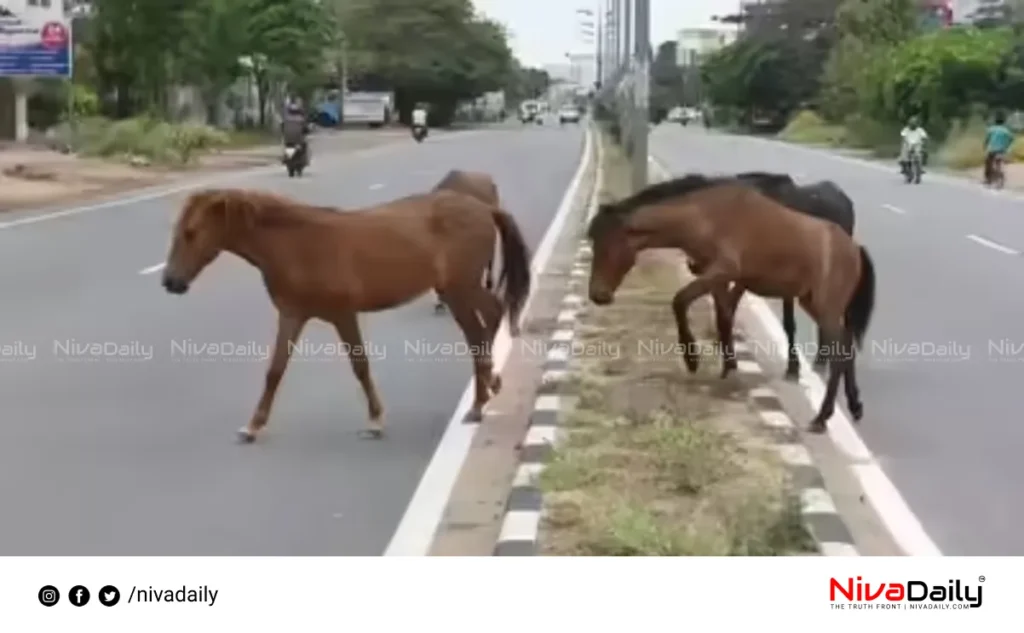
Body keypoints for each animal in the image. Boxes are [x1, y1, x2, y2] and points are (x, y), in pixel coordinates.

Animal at [160, 187, 532, 442]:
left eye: (191, 233)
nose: (170, 282)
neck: (297, 244)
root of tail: (485, 208)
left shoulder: (343, 315)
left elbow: (360, 366)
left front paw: (375, 421)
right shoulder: (292, 315)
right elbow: (275, 371)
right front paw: (253, 426)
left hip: (458, 290)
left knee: (482, 326)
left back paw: (480, 400)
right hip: (458, 290)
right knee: (488, 319)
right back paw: (489, 385)